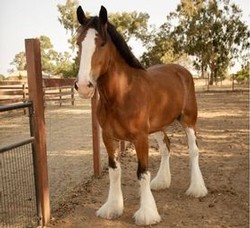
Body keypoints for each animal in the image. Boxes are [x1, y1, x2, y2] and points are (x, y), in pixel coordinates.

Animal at [75, 5, 208, 226]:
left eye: (102, 43)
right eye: (78, 43)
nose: (84, 86)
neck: (122, 94)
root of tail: (182, 71)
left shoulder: (140, 138)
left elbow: (142, 172)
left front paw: (147, 213)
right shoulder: (108, 137)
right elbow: (114, 170)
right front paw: (112, 207)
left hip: (188, 120)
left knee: (193, 150)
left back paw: (197, 189)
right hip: (157, 126)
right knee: (166, 147)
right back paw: (161, 182)